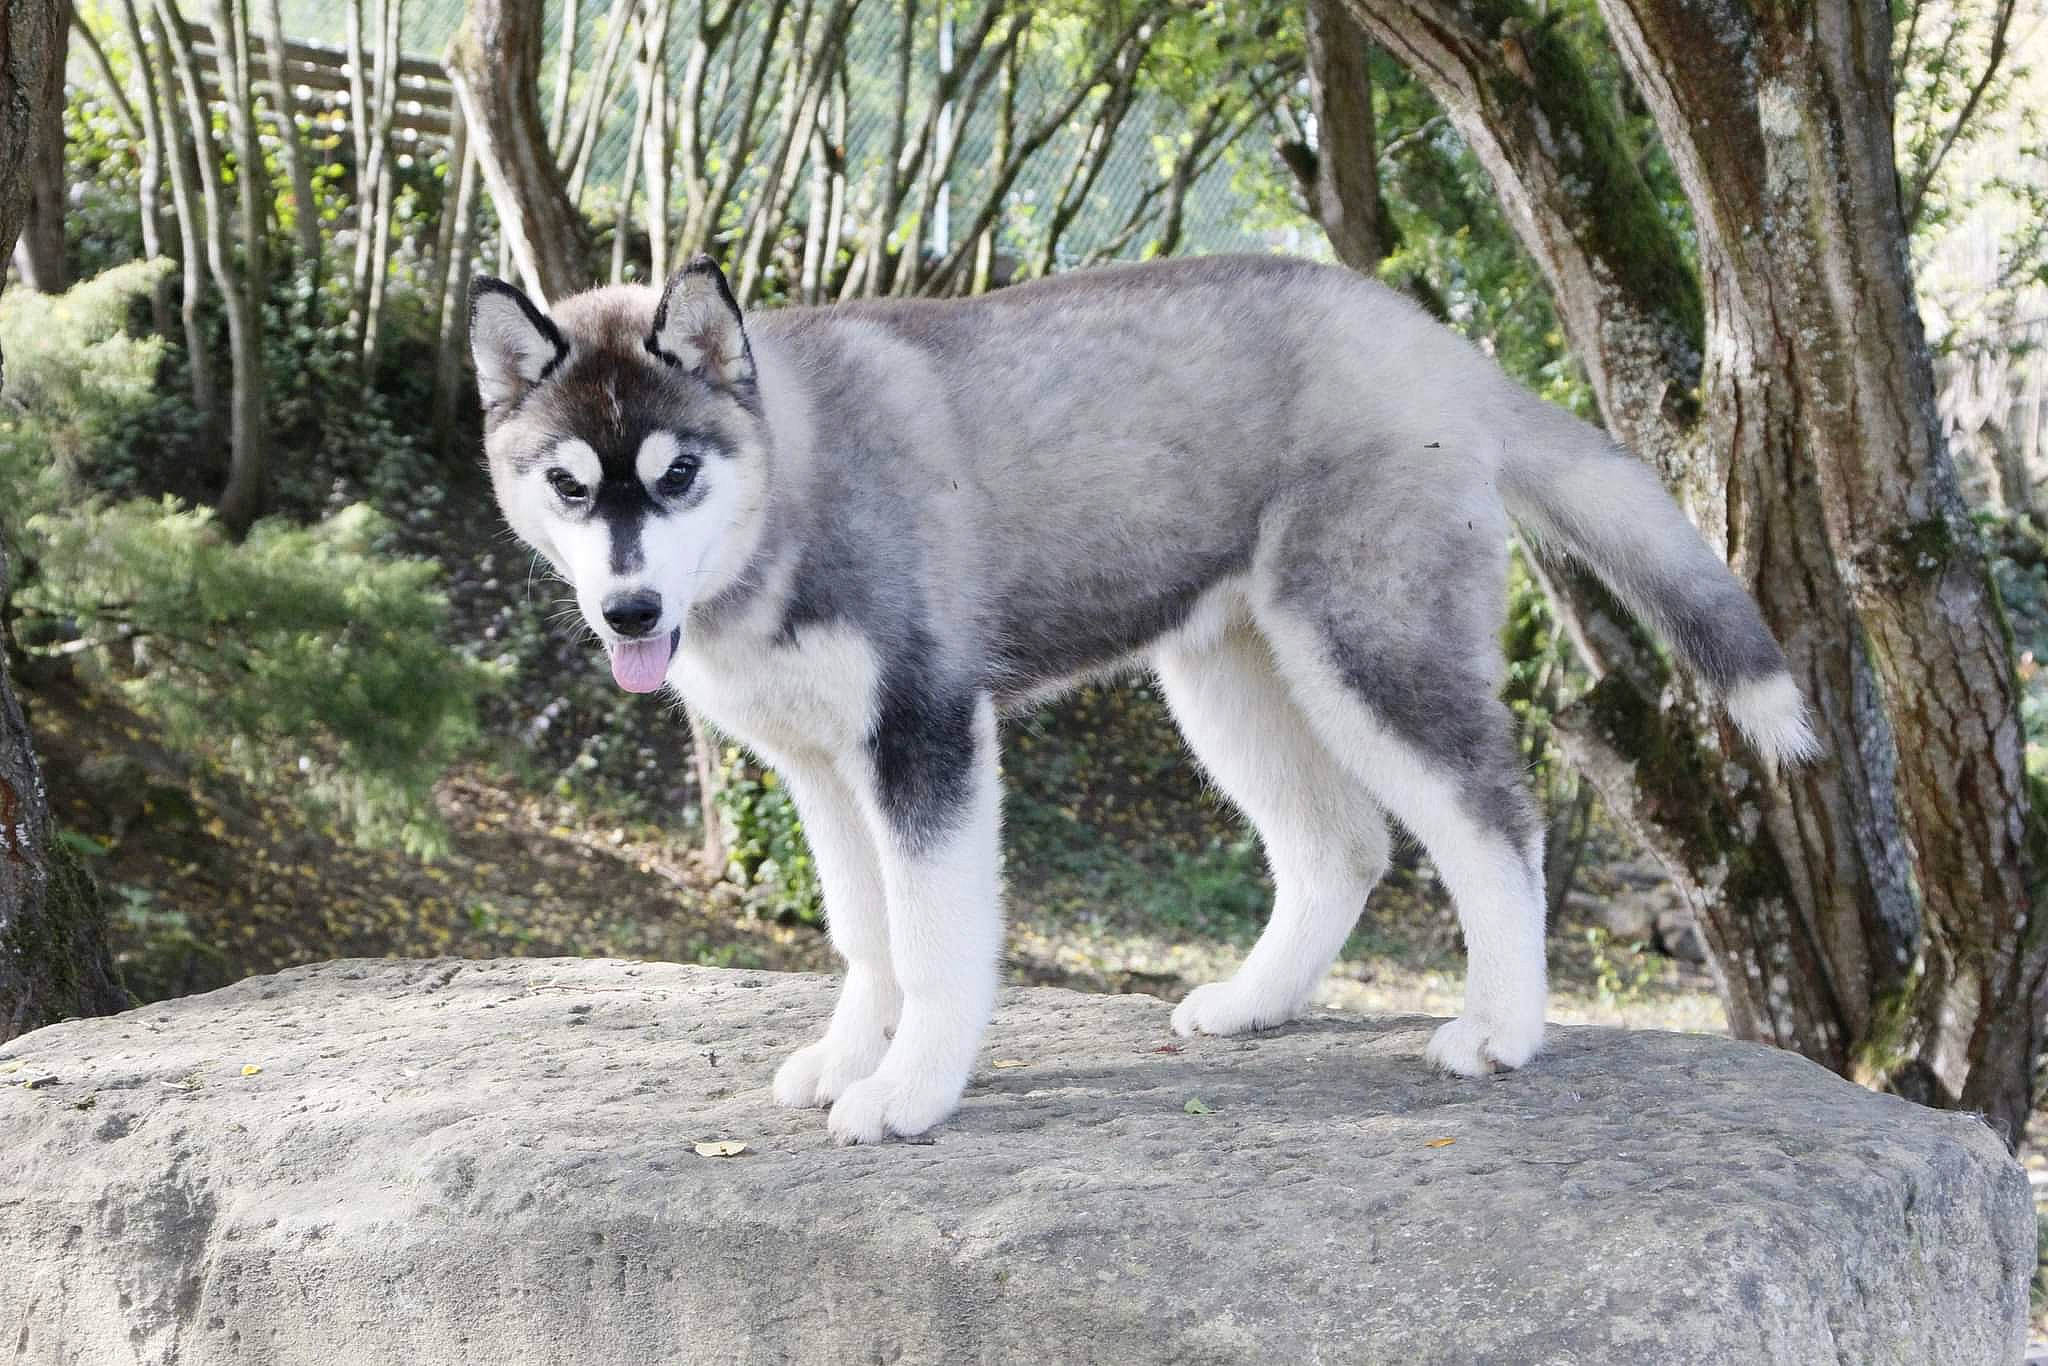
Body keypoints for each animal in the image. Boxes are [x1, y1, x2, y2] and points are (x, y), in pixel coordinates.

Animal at [469, 253, 1816, 1144]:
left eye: (677, 474)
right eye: (571, 486)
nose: (629, 612)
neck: (787, 491)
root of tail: (1427, 334)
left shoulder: (924, 730)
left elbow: (935, 940)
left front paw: (909, 1090)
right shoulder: (820, 763)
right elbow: (865, 934)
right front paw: (851, 1056)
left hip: (1367, 648)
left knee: (1494, 825)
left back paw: (1502, 1029)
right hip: (1224, 680)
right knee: (1339, 845)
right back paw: (1257, 1003)